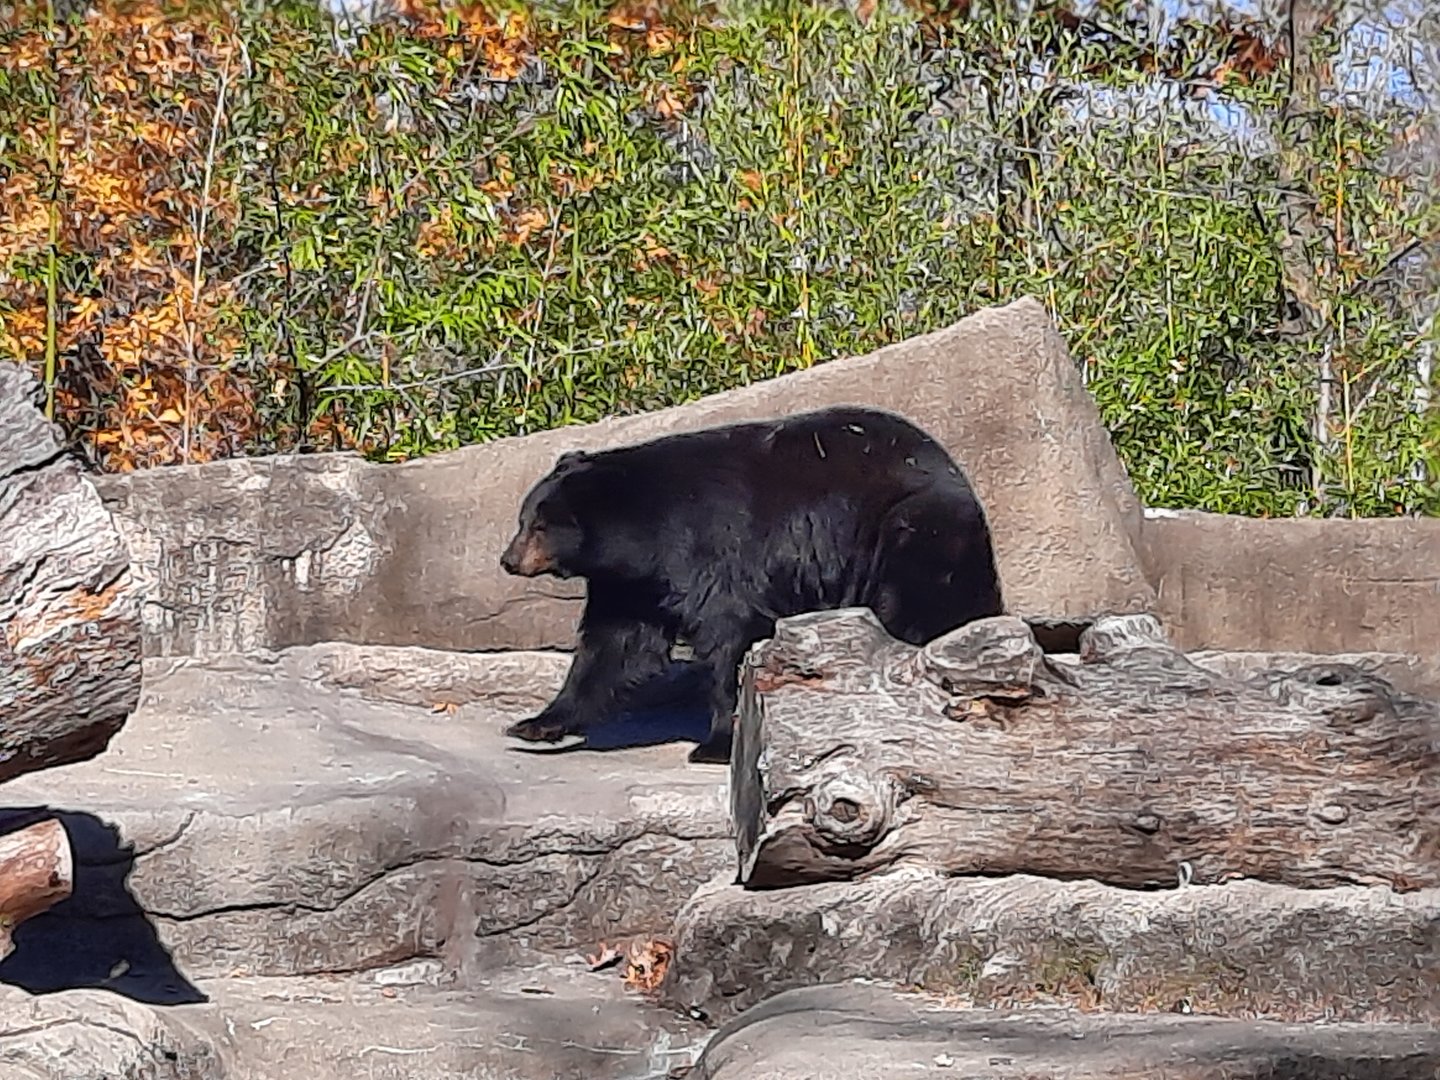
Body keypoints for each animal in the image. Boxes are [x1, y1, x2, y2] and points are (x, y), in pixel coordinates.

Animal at [499, 404, 1005, 764]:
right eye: (524, 519)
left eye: (538, 526)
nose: (507, 560)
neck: (645, 537)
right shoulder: (632, 586)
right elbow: (615, 647)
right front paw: (536, 723)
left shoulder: (714, 549)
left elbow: (729, 634)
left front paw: (716, 742)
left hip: (912, 529)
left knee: (924, 606)